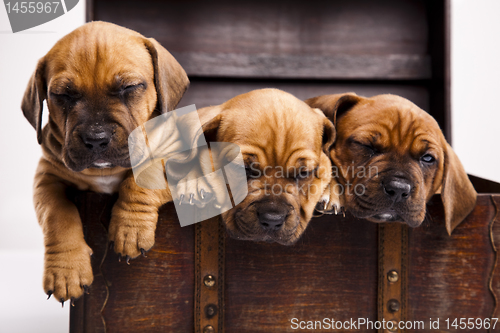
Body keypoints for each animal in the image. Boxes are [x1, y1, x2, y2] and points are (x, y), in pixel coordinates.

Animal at [21, 20, 189, 300]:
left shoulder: (174, 152)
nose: (96, 139)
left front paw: (130, 228)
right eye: (63, 95)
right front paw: (66, 270)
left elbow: (143, 176)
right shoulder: (46, 178)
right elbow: (57, 214)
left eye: (129, 87)